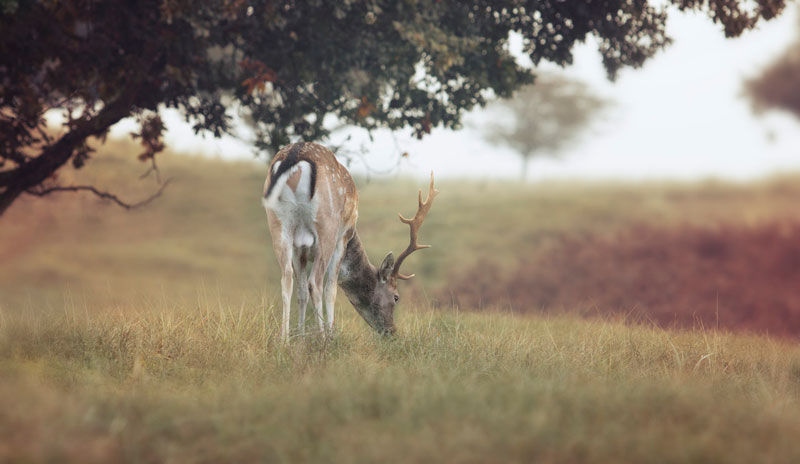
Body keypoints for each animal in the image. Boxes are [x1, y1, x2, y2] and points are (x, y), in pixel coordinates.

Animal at [260, 141, 438, 340]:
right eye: (396, 297)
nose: (392, 331)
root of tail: (295, 154)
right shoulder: (343, 238)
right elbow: (331, 289)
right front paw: (329, 335)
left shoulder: (300, 250)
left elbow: (301, 292)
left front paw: (300, 338)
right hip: (327, 226)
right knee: (316, 283)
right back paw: (323, 339)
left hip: (278, 223)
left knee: (287, 279)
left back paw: (284, 340)